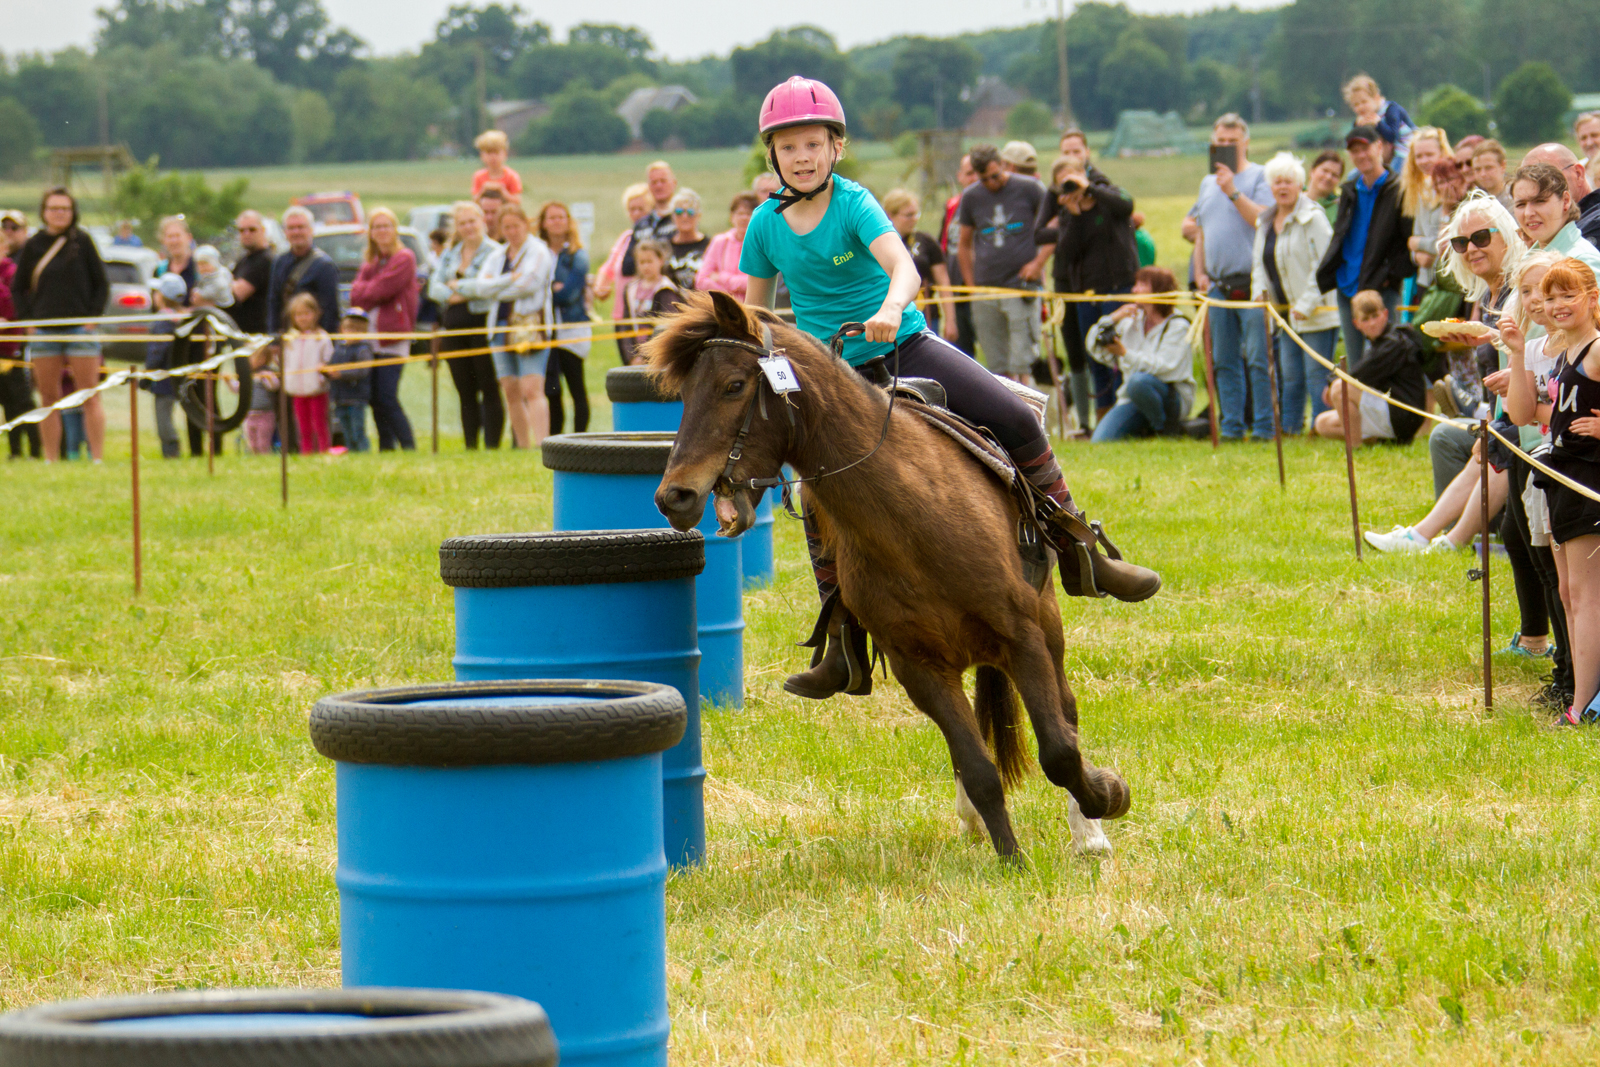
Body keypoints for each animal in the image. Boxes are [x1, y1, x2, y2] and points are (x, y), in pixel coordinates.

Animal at [643, 292, 1132, 857]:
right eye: (685, 394)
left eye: (734, 385)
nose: (674, 496)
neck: (915, 516)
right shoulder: (918, 666)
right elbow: (981, 769)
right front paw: (1011, 860)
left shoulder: (1022, 636)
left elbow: (1058, 751)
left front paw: (1107, 795)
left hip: (1047, 621)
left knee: (1066, 714)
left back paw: (1088, 832)